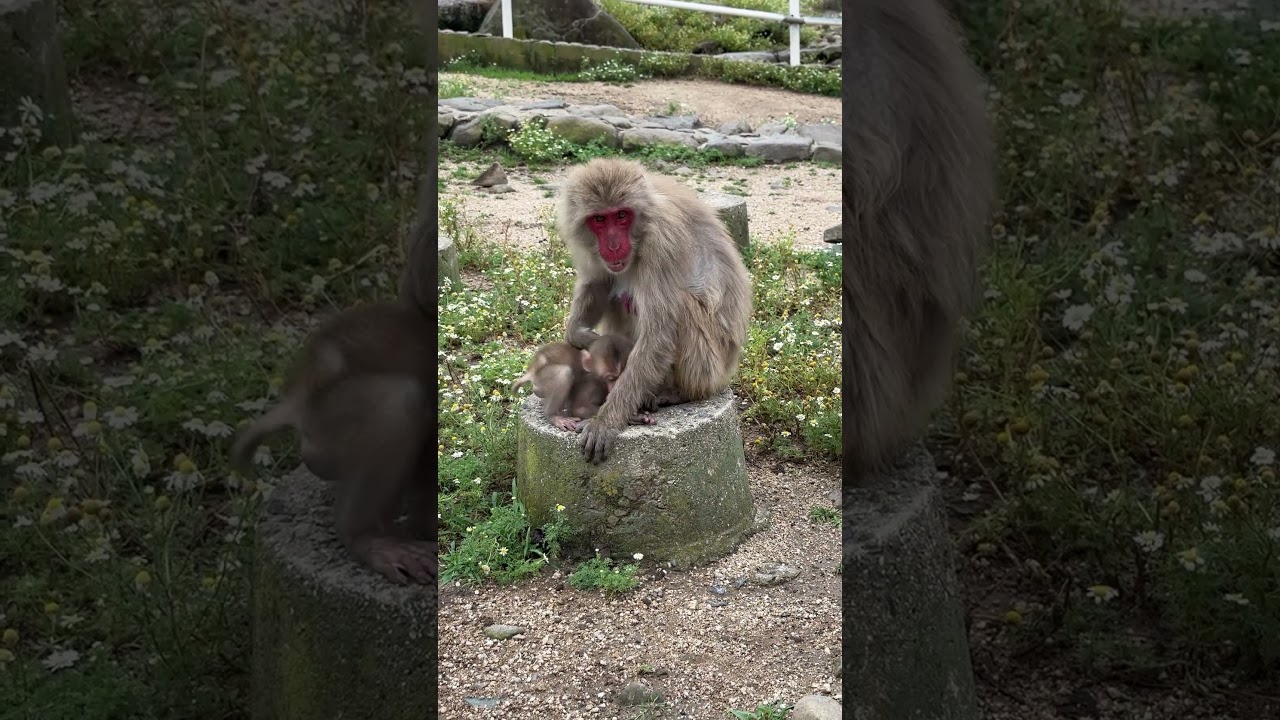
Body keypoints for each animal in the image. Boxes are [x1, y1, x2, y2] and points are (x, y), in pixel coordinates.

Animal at [556, 158, 753, 463]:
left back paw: (677, 393)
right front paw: (583, 337)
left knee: (679, 307)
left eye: (621, 215)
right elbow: (599, 281)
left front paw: (606, 421)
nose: (614, 245)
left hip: (711, 369)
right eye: (600, 219)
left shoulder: (662, 243)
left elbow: (658, 337)